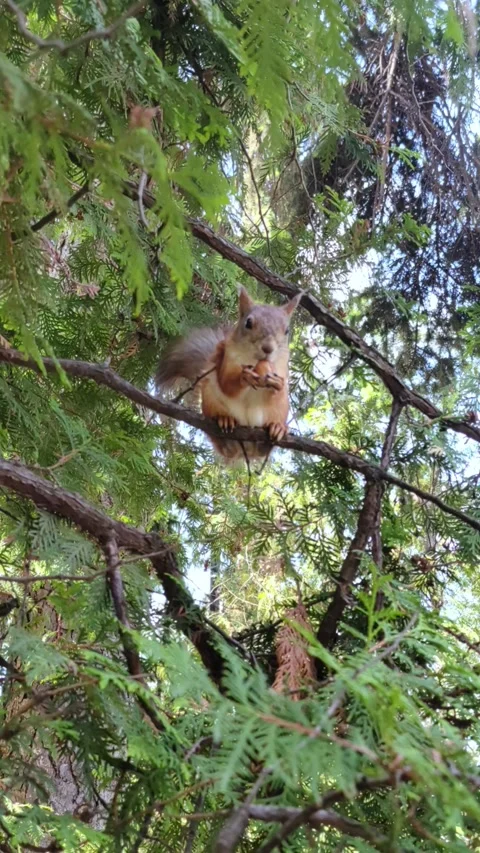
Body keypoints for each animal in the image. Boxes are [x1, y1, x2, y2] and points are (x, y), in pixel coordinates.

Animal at [156, 286, 302, 462]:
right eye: (248, 323)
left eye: (287, 330)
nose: (268, 348)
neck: (253, 360)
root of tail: (243, 449)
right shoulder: (228, 359)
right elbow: (227, 384)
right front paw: (244, 377)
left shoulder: (282, 367)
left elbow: (276, 392)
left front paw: (278, 384)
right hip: (210, 400)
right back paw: (224, 419)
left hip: (280, 410)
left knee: (264, 447)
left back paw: (277, 428)